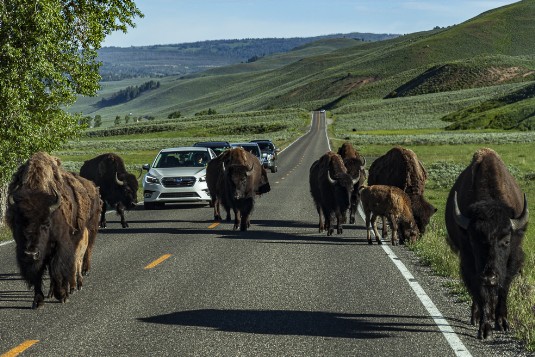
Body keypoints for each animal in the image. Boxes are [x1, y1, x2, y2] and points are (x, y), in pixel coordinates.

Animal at [6, 152, 102, 308]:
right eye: (19, 222)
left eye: (46, 223)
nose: (31, 254)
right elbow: (38, 273)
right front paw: (38, 301)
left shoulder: (59, 245)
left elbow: (57, 269)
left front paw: (62, 295)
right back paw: (53, 291)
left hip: (90, 230)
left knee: (82, 255)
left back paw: (76, 281)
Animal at [446, 147, 528, 340]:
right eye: (473, 240)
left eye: (506, 240)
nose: (489, 277)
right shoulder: (470, 262)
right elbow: (480, 293)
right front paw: (484, 328)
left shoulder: (512, 261)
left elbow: (503, 289)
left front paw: (503, 323)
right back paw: (475, 317)